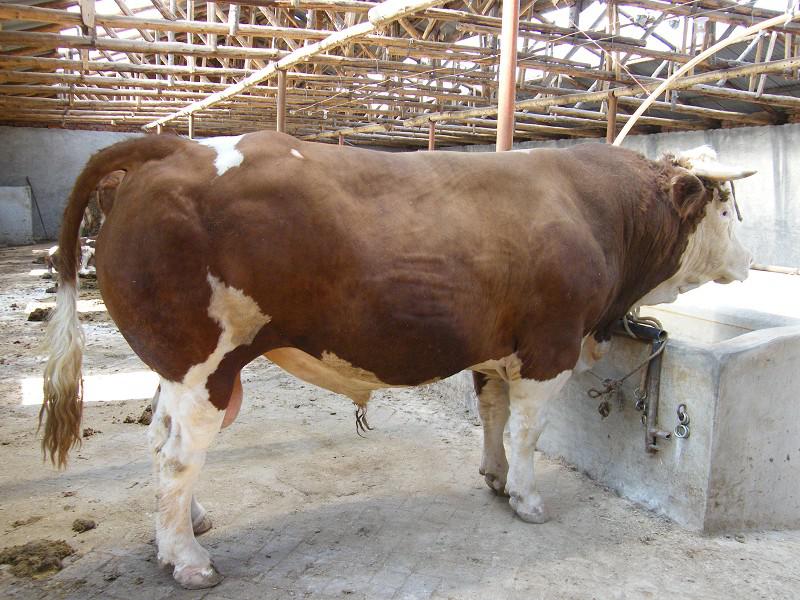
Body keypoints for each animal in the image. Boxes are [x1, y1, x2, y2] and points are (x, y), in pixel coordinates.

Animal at [40, 132, 754, 589]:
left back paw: (187, 522)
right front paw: (527, 499)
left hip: (179, 369)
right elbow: (528, 433)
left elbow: (493, 416)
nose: (749, 264)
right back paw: (187, 559)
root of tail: (174, 146)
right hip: (204, 363)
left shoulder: (494, 350)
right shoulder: (550, 347)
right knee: (178, 456)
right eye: (725, 206)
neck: (593, 209)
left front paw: (495, 478)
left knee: (161, 441)